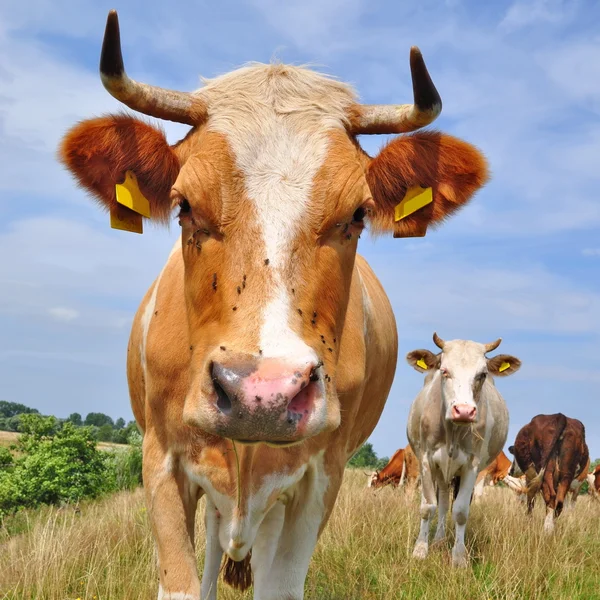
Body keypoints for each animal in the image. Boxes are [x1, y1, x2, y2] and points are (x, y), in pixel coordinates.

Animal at [58, 11, 490, 596]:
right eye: (183, 205)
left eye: (358, 214)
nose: (261, 394)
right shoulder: (161, 462)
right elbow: (183, 582)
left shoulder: (320, 478)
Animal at [408, 332, 520, 568]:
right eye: (444, 371)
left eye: (482, 374)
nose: (464, 411)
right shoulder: (426, 460)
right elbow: (428, 507)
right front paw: (420, 550)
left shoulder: (472, 466)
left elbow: (460, 511)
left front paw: (459, 557)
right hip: (441, 472)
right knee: (441, 502)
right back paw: (438, 540)